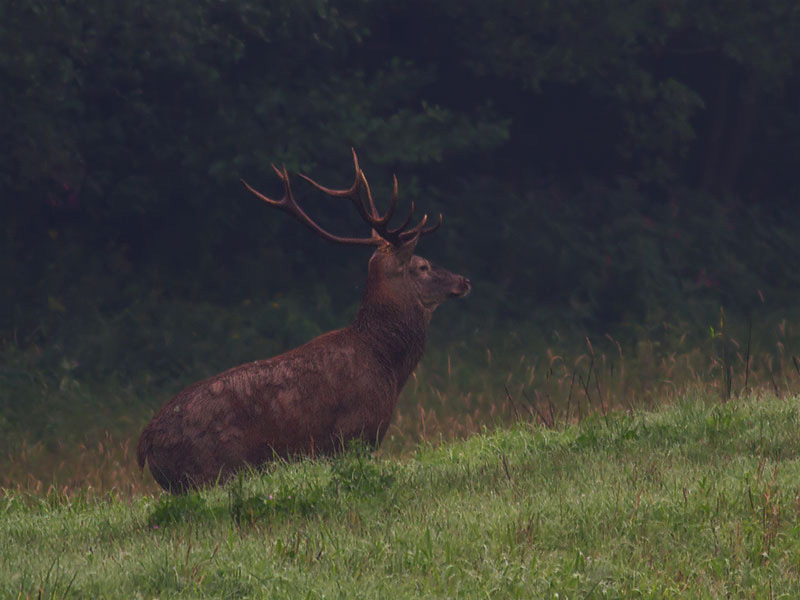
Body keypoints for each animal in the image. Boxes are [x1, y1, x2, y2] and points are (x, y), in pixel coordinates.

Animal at [135, 150, 472, 492]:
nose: (464, 280)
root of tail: (144, 444)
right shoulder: (354, 432)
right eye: (423, 266)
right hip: (212, 472)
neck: (386, 361)